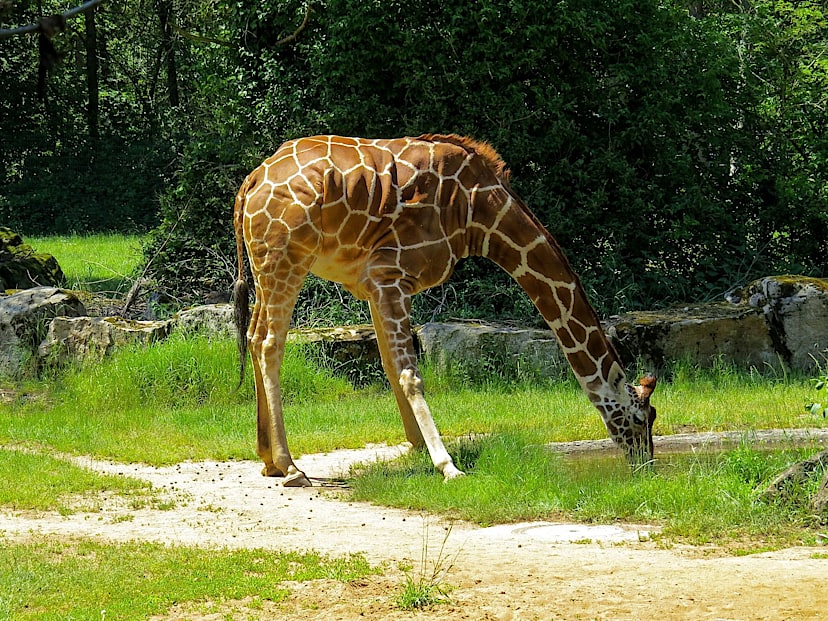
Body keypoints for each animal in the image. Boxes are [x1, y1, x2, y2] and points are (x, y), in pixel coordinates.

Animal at [233, 134, 658, 486]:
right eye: (641, 418)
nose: (646, 466)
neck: (477, 213)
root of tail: (249, 184)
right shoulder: (391, 274)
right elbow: (410, 375)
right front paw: (447, 465)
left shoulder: (374, 282)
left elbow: (391, 367)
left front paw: (417, 448)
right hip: (287, 258)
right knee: (270, 344)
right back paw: (291, 467)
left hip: (265, 264)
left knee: (253, 337)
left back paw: (268, 460)